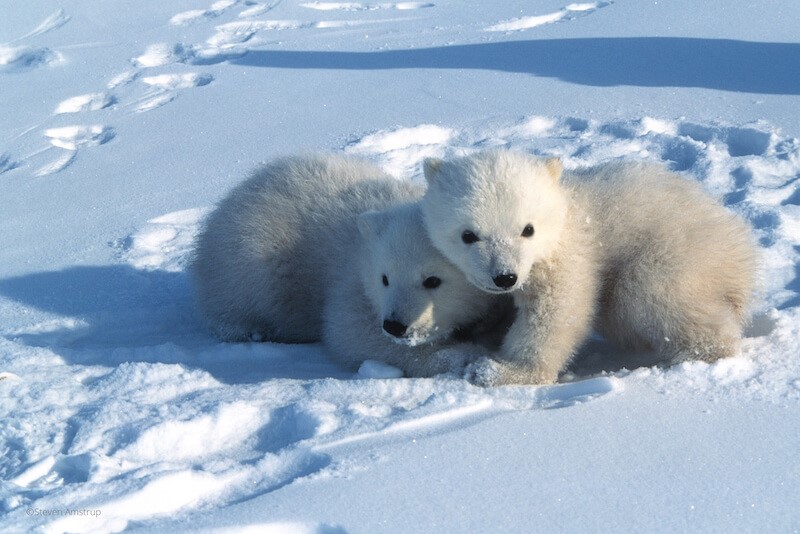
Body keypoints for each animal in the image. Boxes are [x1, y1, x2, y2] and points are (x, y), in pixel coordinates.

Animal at [190, 153, 510, 376]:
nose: (395, 325)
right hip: (253, 259)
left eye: (433, 280)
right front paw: (462, 355)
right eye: (384, 278)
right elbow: (350, 332)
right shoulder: (352, 281)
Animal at [419, 149, 757, 386]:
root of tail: (742, 251)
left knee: (647, 295)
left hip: (679, 253)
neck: (566, 211)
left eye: (528, 229)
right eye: (468, 235)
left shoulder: (569, 254)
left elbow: (556, 311)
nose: (505, 277)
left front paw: (498, 371)